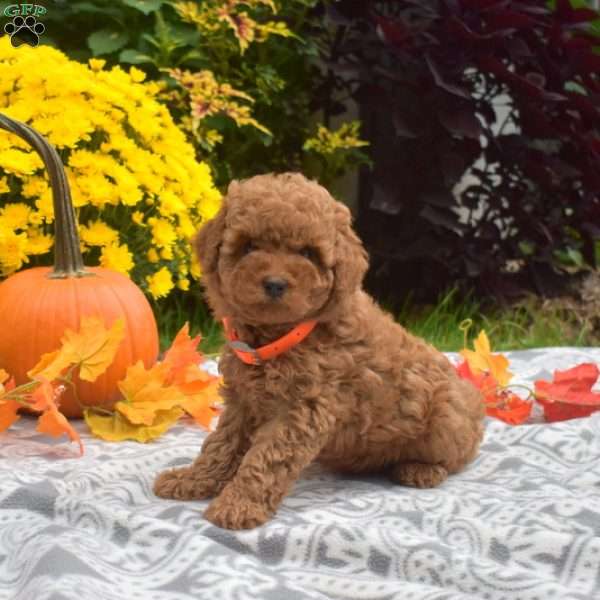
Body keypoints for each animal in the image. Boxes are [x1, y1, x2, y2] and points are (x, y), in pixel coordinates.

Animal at [152, 171, 486, 528]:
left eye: (308, 254)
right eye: (249, 246)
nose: (275, 284)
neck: (280, 335)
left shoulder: (303, 410)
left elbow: (265, 460)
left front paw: (238, 504)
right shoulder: (242, 401)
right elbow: (220, 445)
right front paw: (191, 480)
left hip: (446, 417)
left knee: (459, 457)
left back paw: (421, 470)